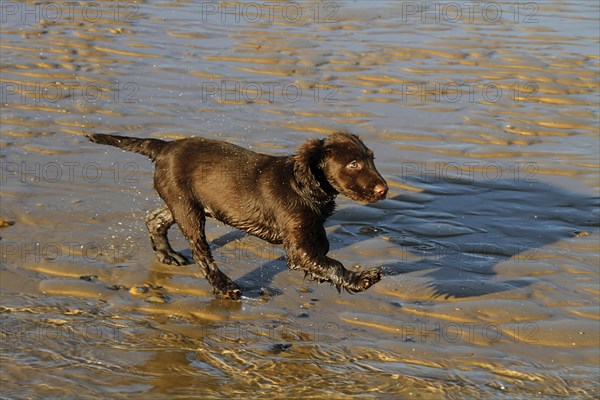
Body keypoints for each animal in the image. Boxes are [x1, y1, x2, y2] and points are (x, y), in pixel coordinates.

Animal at [86, 132, 392, 300]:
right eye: (353, 164)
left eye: (372, 159)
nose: (384, 189)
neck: (305, 184)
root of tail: (164, 147)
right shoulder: (298, 246)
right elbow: (331, 263)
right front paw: (361, 279)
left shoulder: (309, 233)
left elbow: (323, 254)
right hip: (188, 209)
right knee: (201, 252)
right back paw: (224, 287)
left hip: (188, 203)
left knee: (155, 219)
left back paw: (167, 256)